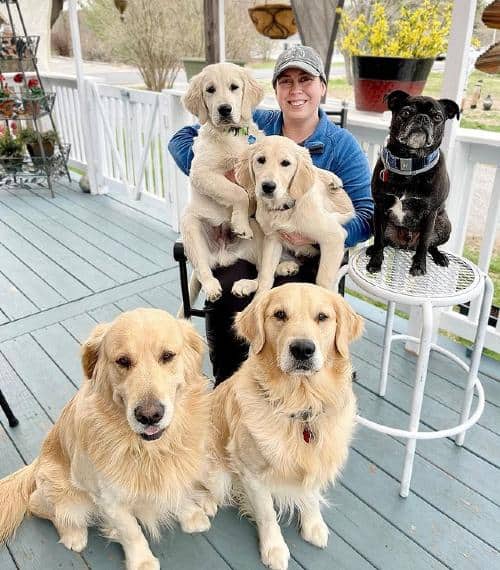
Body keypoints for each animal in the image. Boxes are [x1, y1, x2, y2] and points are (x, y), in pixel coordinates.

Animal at [181, 62, 266, 304]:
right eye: (210, 90)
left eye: (234, 87)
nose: (224, 109)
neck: (232, 134)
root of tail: (223, 255)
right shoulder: (202, 172)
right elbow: (238, 193)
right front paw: (240, 223)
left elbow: (250, 193)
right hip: (191, 227)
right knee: (202, 269)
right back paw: (212, 287)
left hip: (260, 235)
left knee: (264, 273)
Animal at [200, 282, 364, 568]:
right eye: (279, 315)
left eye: (322, 317)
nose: (302, 349)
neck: (300, 404)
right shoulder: (252, 473)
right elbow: (267, 514)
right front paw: (274, 549)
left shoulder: (316, 458)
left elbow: (310, 495)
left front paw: (312, 524)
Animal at [234, 136, 356, 298]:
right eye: (261, 160)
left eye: (286, 163)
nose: (268, 186)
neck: (284, 207)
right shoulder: (273, 238)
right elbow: (266, 275)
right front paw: (258, 301)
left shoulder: (334, 237)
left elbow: (323, 280)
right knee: (262, 270)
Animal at [366, 89, 458, 276]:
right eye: (406, 113)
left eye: (437, 116)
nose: (422, 118)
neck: (410, 163)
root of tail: (406, 245)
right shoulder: (379, 208)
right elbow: (379, 239)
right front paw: (375, 261)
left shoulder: (430, 214)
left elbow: (424, 243)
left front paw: (419, 266)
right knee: (384, 241)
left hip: (444, 224)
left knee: (431, 245)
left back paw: (439, 257)